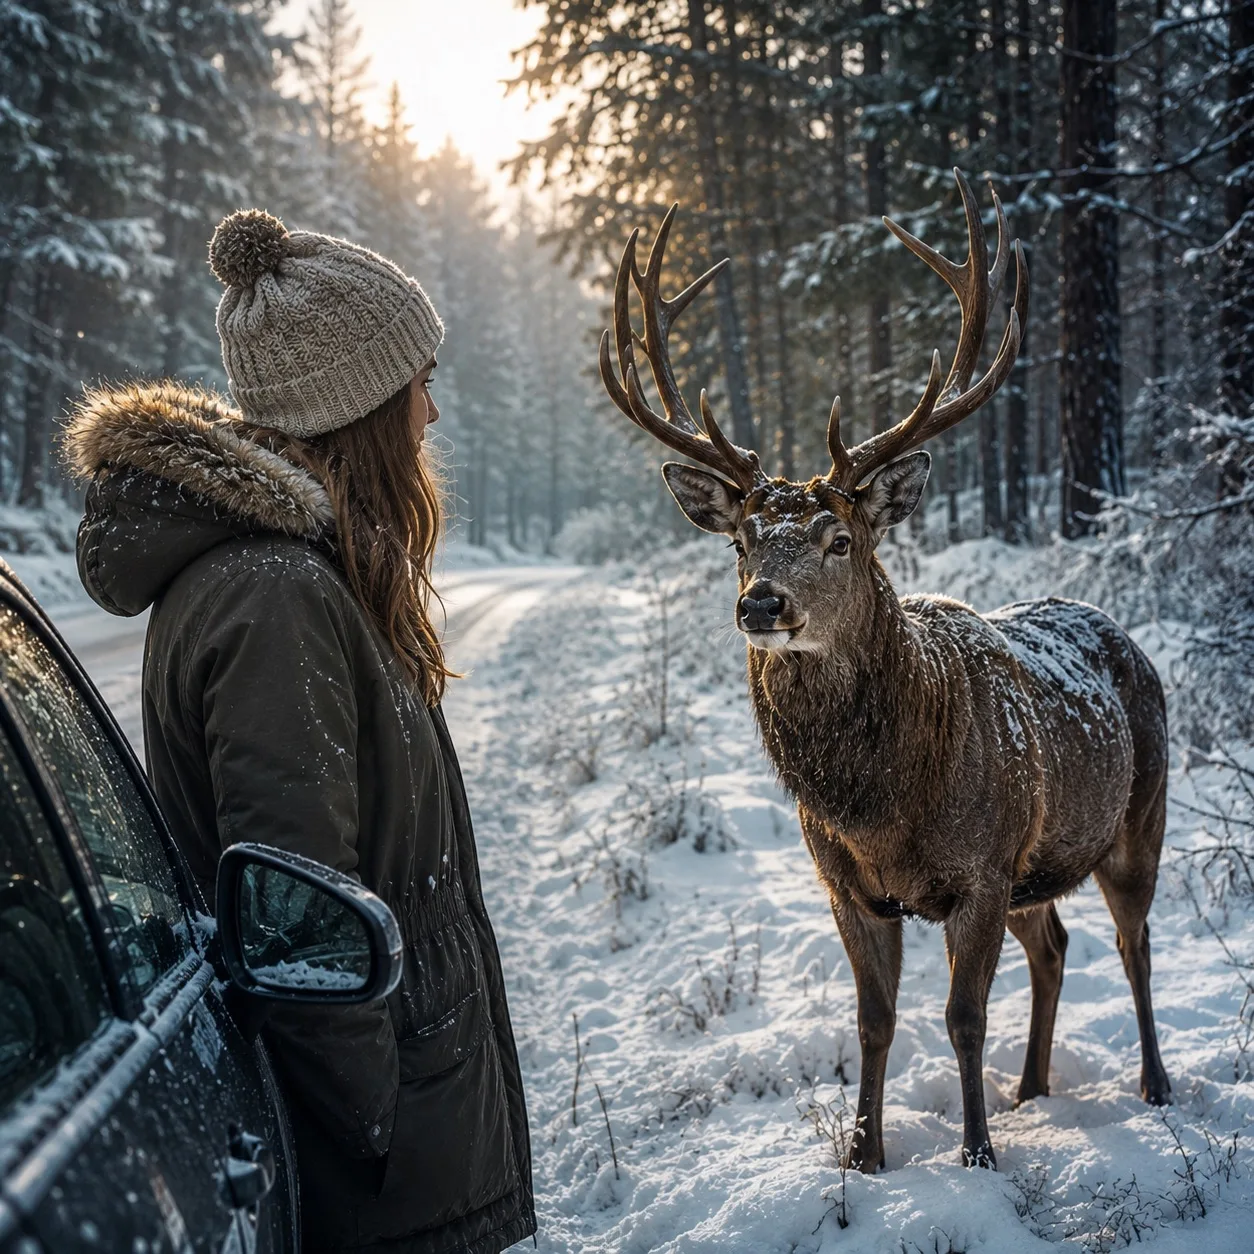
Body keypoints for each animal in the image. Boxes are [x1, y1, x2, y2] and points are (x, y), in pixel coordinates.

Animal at [597, 169, 1171, 1174]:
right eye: (742, 540)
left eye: (840, 537)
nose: (762, 605)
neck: (884, 805)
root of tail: (1120, 631)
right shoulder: (850, 885)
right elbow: (875, 1021)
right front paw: (865, 1155)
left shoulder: (980, 871)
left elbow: (963, 1018)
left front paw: (977, 1156)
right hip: (1036, 867)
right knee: (1056, 943)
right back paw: (1032, 1090)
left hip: (1140, 815)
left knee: (1135, 944)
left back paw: (1153, 1084)